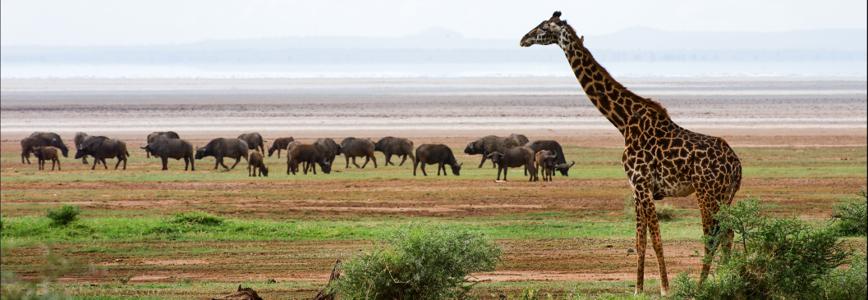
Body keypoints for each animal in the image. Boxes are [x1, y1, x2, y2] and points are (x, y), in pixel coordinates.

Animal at [520, 11, 744, 296]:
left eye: (543, 27)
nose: (523, 39)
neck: (623, 122)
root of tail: (737, 166)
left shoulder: (642, 184)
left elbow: (656, 238)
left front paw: (665, 289)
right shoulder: (636, 188)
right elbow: (641, 240)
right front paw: (638, 289)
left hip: (707, 191)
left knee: (712, 235)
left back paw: (702, 285)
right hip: (726, 195)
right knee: (728, 233)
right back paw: (728, 277)